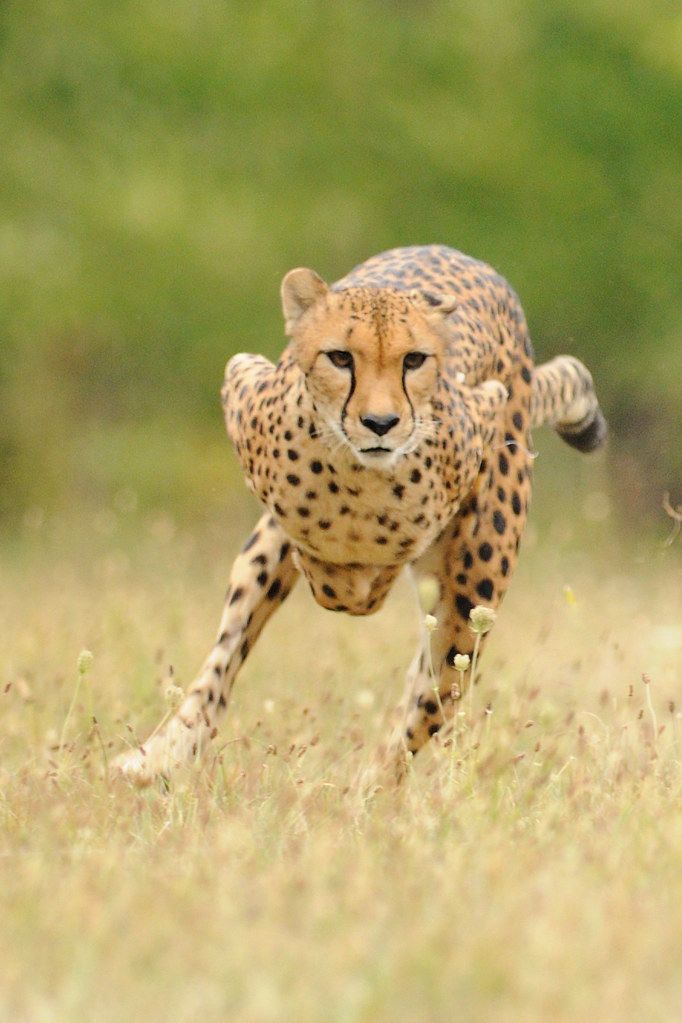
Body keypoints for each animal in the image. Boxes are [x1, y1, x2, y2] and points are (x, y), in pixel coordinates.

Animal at [113, 245, 609, 781]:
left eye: (413, 360)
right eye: (340, 357)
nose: (380, 423)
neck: (354, 477)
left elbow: (367, 583)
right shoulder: (240, 378)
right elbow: (322, 570)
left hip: (473, 597)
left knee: (426, 704)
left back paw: (368, 786)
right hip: (261, 561)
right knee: (224, 662)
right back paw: (159, 755)